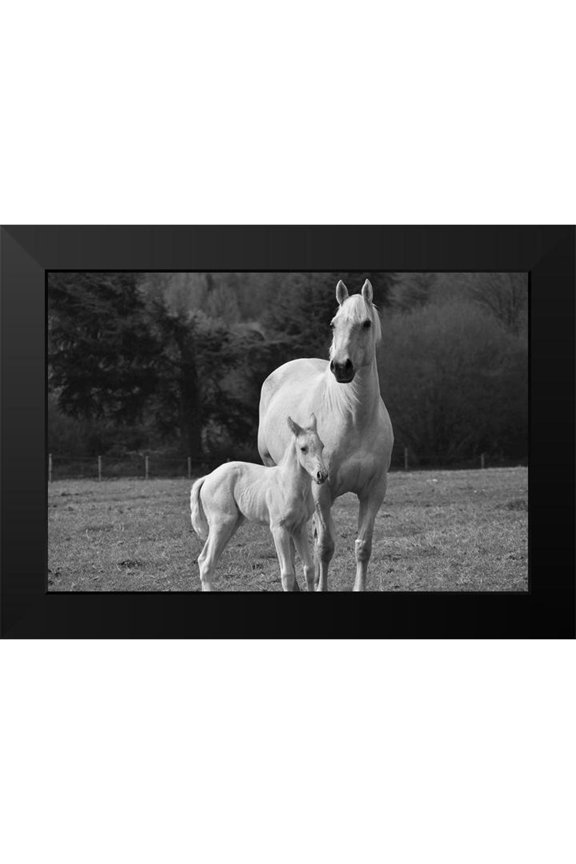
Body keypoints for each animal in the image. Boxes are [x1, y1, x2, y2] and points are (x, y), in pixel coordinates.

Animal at [190, 415, 328, 591]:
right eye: (303, 448)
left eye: (322, 446)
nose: (321, 475)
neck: (288, 484)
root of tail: (207, 477)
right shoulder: (278, 528)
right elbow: (287, 575)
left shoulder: (298, 527)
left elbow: (309, 569)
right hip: (222, 523)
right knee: (207, 564)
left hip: (231, 525)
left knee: (204, 560)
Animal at [258, 278, 393, 591]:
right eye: (333, 324)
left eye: (366, 323)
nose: (341, 367)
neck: (354, 418)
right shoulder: (322, 490)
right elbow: (325, 547)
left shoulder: (374, 491)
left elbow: (362, 546)